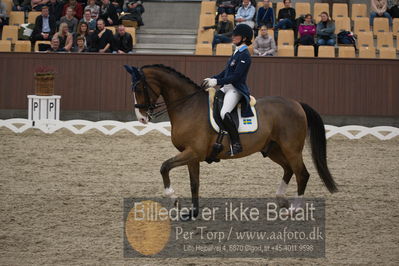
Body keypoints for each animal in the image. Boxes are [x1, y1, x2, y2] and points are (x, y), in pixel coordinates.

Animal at [124, 64, 338, 218]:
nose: (141, 118)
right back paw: (281, 199)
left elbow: (164, 167)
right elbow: (194, 183)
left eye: (139, 87)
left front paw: (174, 198)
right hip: (273, 149)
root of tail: (296, 103)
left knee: (302, 174)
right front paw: (192, 213)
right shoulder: (192, 156)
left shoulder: (193, 152)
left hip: (291, 148)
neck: (187, 106)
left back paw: (294, 209)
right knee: (288, 169)